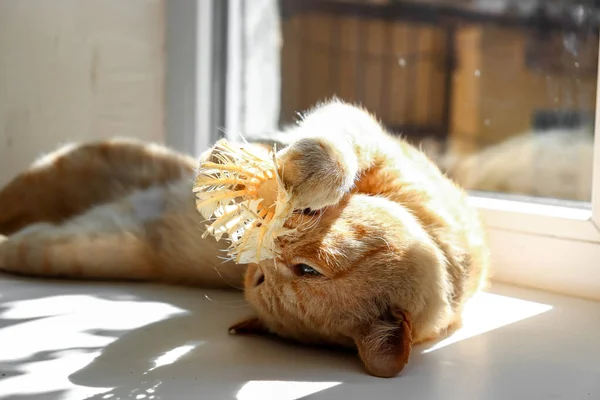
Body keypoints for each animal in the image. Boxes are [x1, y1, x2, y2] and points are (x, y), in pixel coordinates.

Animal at [0, 101, 488, 378]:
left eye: (300, 272)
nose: (255, 263)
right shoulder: (364, 133)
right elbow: (333, 151)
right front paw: (269, 174)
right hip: (67, 167)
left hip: (79, 247)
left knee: (26, 240)